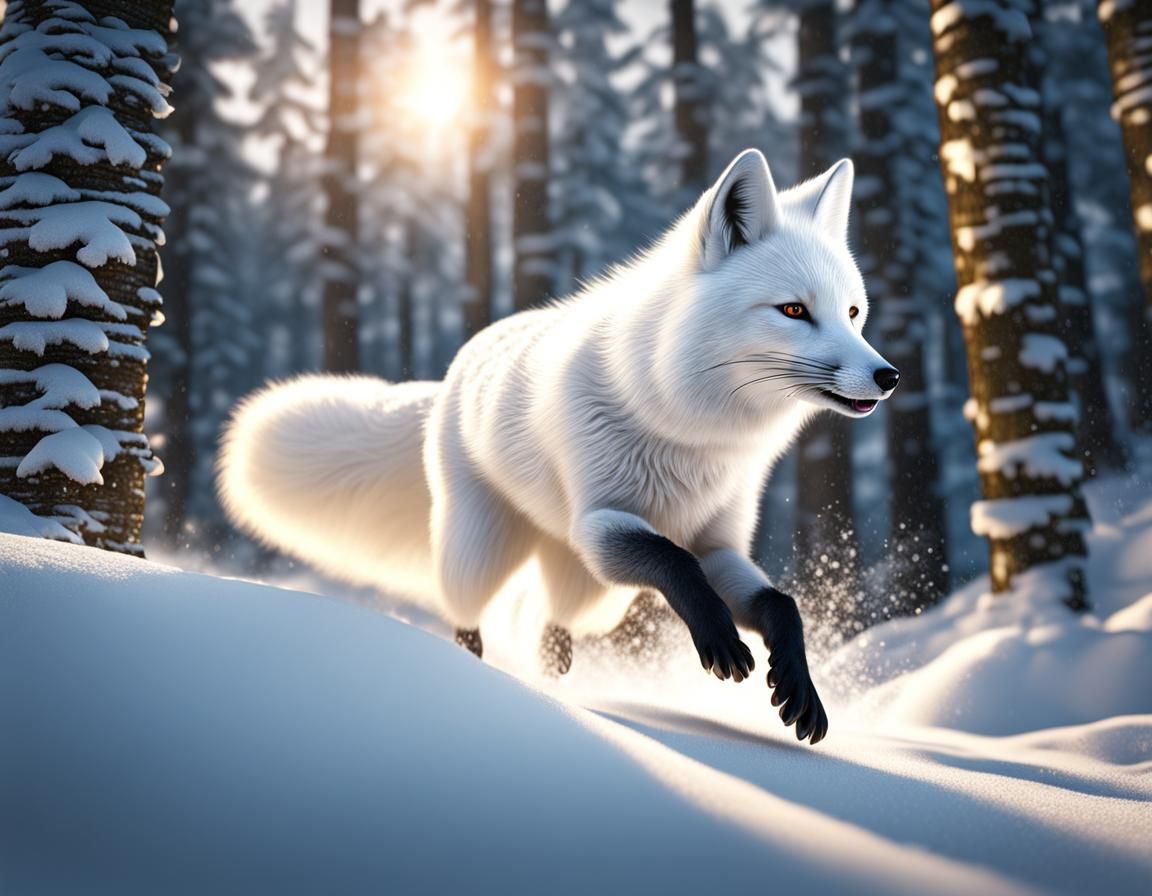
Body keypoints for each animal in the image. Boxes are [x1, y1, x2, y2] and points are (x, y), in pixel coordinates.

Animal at [218, 149, 899, 745]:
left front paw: (797, 687)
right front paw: (720, 639)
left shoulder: (718, 542)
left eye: (853, 312)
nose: (889, 376)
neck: (693, 433)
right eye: (794, 311)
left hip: (593, 593)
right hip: (493, 553)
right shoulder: (599, 524)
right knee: (466, 612)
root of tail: (457, 368)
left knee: (550, 625)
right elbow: (674, 562)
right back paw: (477, 668)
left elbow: (779, 602)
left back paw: (554, 675)